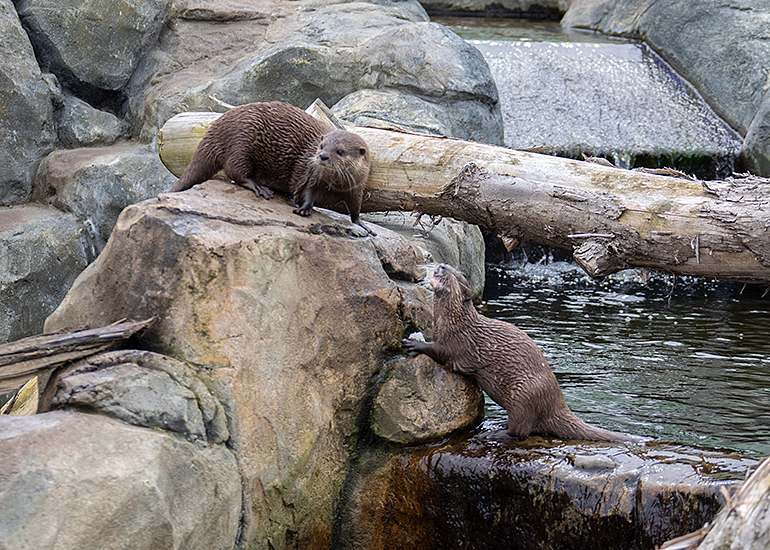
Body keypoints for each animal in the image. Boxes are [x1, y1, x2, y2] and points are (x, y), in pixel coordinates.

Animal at [170, 101, 371, 230]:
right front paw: (304, 208)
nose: (322, 156)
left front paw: (360, 223)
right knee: (235, 171)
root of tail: (220, 122)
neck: (336, 186)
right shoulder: (311, 176)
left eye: (340, 151)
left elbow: (355, 207)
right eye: (321, 146)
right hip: (242, 141)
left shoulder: (357, 187)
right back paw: (260, 188)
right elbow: (307, 193)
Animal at [403, 264, 644, 443]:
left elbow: (439, 351)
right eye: (449, 265)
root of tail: (556, 405)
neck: (452, 320)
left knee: (521, 430)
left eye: (455, 273)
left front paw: (413, 344)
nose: (442, 265)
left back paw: (496, 432)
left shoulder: (456, 342)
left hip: (523, 394)